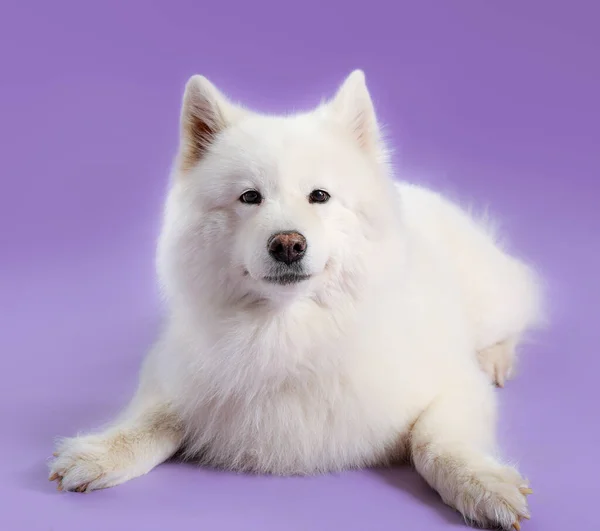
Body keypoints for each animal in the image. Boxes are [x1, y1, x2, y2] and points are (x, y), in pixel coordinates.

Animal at [49, 71, 540, 531]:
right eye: (250, 197)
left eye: (319, 196)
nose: (287, 244)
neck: (285, 332)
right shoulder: (177, 376)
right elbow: (152, 419)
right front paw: (99, 452)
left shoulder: (454, 386)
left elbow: (434, 442)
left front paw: (482, 484)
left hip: (488, 299)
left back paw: (496, 359)